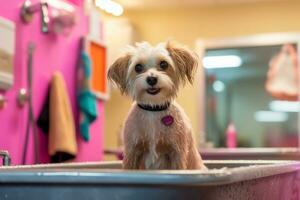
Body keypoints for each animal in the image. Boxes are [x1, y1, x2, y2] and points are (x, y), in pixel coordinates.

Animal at [108, 41, 206, 170]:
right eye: (138, 67)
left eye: (164, 64)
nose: (151, 79)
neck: (153, 109)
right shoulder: (132, 152)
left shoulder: (177, 153)